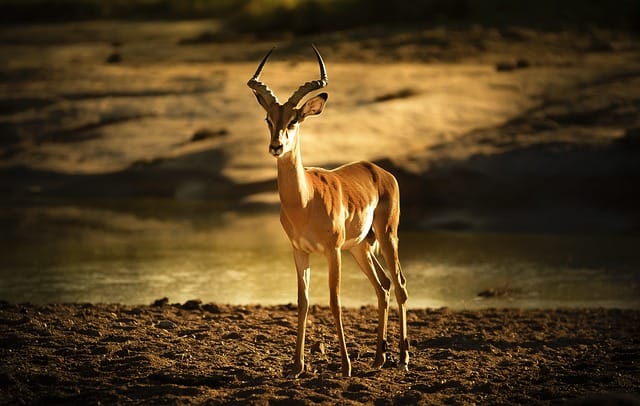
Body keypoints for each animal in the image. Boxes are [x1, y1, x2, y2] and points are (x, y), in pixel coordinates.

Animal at [248, 45, 408, 378]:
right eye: (269, 119)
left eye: (294, 121)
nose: (276, 146)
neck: (304, 201)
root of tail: (379, 171)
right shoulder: (299, 251)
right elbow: (303, 301)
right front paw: (296, 367)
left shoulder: (332, 251)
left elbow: (334, 301)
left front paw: (345, 366)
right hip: (360, 247)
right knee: (383, 286)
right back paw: (378, 358)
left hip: (387, 236)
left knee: (399, 284)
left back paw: (403, 358)